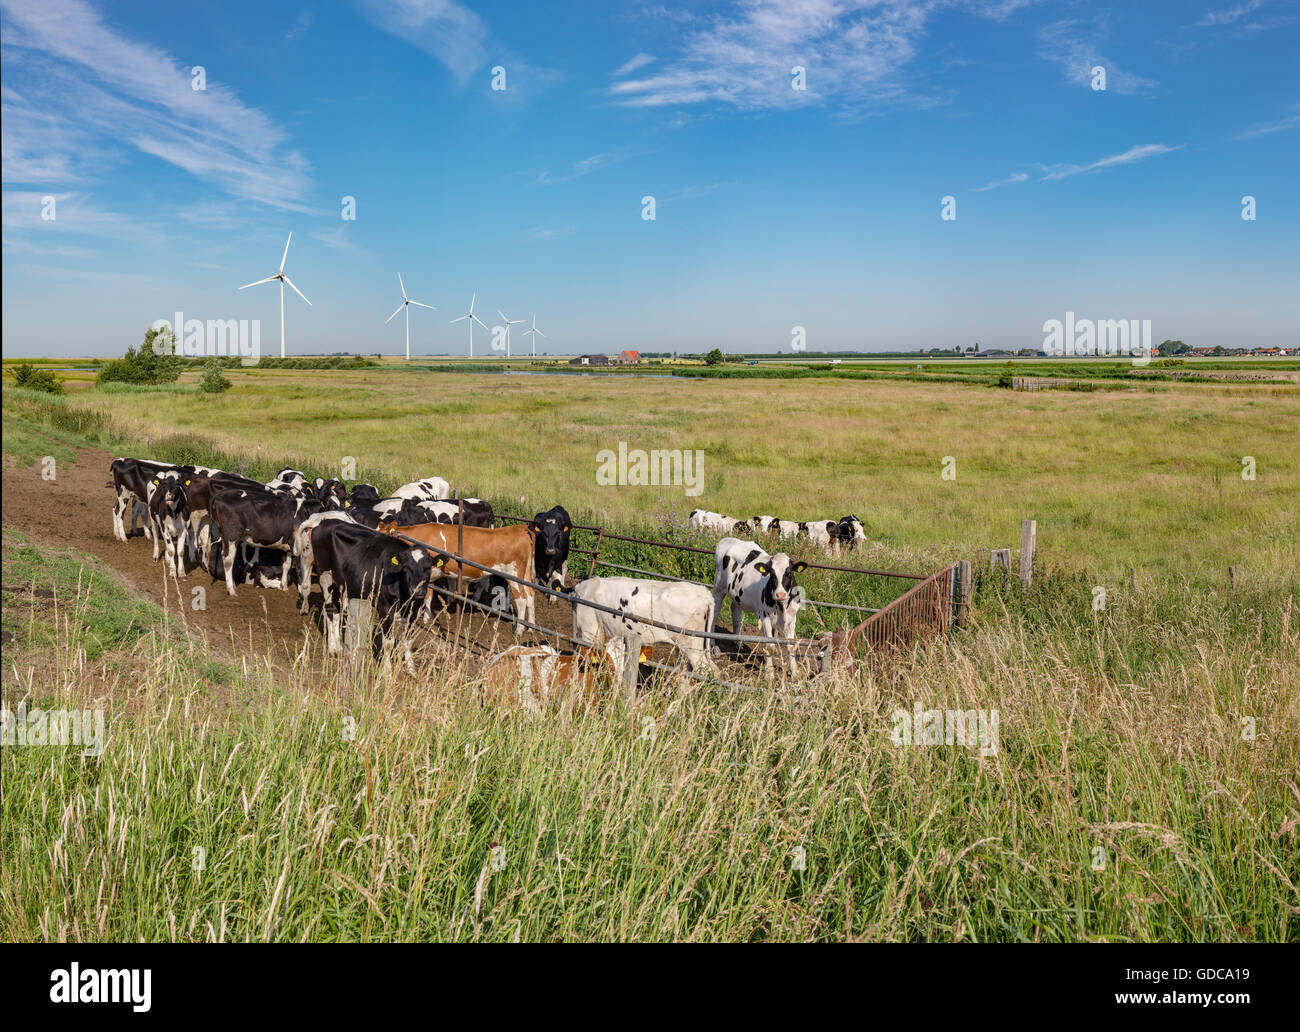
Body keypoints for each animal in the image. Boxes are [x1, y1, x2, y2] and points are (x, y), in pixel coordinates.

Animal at [308, 519, 447, 670]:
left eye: (428, 568)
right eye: (406, 568)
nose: (417, 590)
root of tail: (325, 522)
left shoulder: (414, 610)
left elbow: (408, 639)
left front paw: (410, 667)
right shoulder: (385, 609)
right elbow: (388, 643)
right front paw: (387, 671)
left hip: (341, 584)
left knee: (336, 611)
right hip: (325, 578)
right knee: (330, 610)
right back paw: (334, 648)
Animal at [712, 538, 800, 675]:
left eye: (789, 573)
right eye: (771, 573)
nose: (780, 594)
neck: (782, 606)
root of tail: (728, 539)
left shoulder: (791, 619)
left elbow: (791, 647)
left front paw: (795, 673)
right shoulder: (765, 617)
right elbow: (769, 646)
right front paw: (769, 673)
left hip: (738, 596)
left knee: (735, 610)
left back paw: (739, 642)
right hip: (718, 587)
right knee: (714, 612)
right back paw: (714, 647)